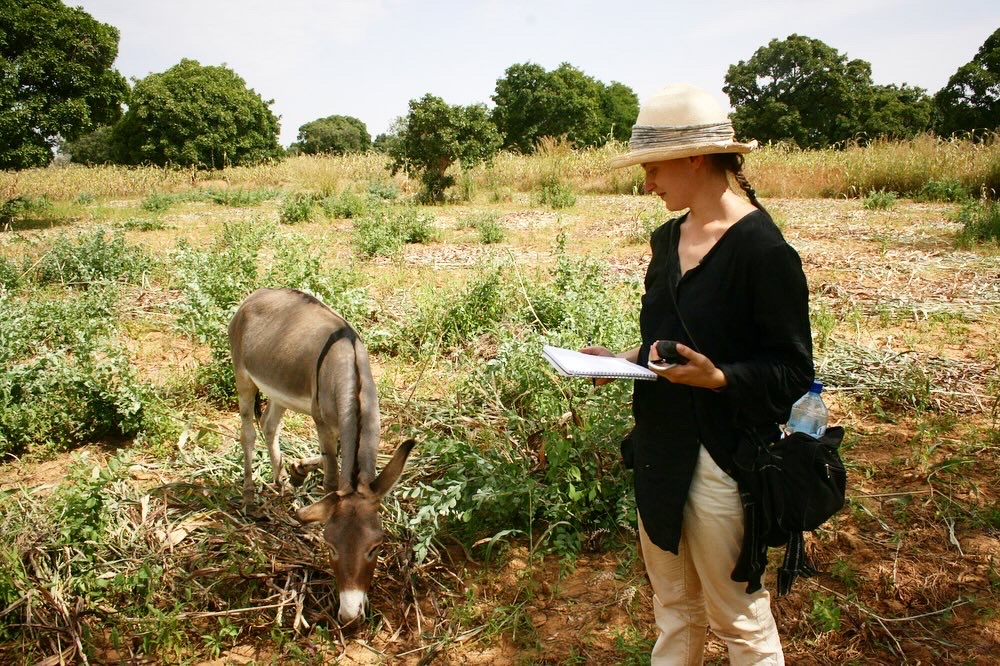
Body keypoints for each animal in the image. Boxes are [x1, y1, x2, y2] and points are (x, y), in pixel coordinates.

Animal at [228, 287, 415, 625]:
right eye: (331, 546)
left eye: (376, 546)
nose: (350, 616)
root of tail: (257, 294)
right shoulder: (322, 423)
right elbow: (331, 479)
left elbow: (338, 460)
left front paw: (298, 469)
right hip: (243, 376)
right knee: (248, 433)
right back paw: (250, 498)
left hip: (278, 389)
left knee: (270, 425)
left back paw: (282, 482)